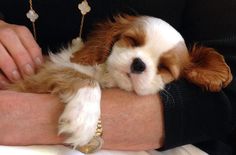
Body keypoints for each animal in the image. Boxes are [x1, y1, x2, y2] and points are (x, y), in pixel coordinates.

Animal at [8, 15, 232, 154]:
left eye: (165, 68)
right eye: (132, 41)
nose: (139, 64)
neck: (107, 77)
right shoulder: (43, 73)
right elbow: (87, 80)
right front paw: (83, 119)